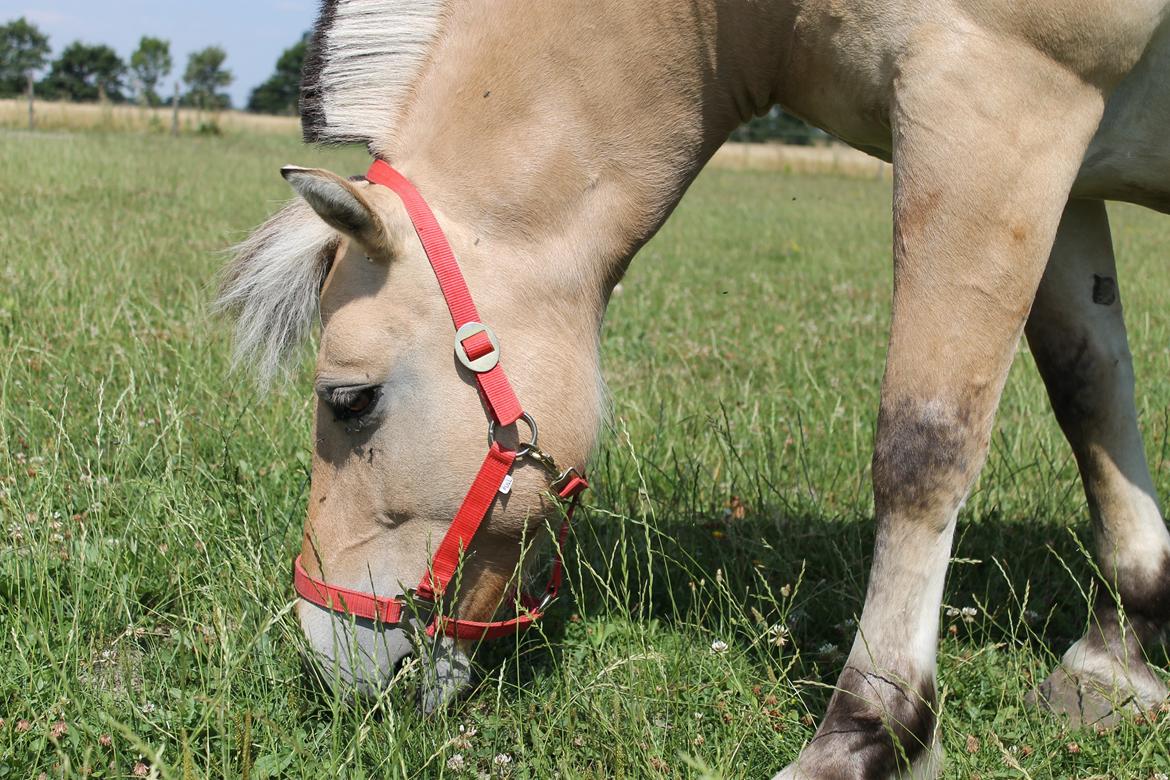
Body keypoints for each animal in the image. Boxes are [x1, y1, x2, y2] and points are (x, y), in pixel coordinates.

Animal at [217, 1, 1170, 776]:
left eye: (349, 401)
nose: (326, 657)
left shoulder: (998, 104)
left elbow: (924, 446)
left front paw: (863, 737)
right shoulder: (1061, 170)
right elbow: (1091, 393)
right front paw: (1117, 653)